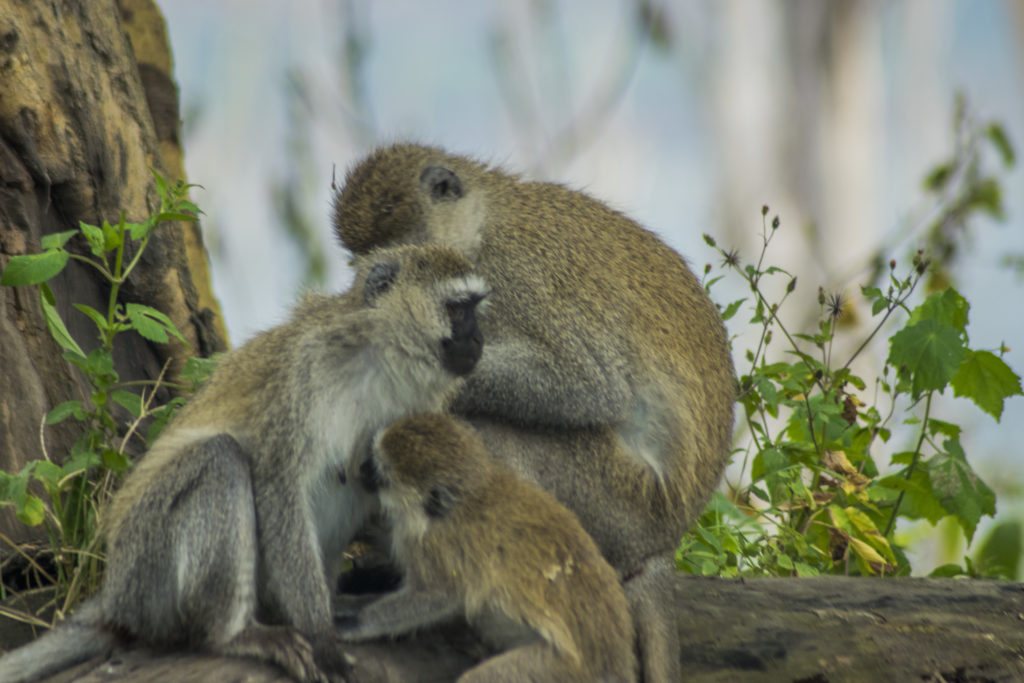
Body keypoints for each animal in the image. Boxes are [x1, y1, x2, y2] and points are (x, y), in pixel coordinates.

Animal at [0, 245, 485, 683]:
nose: (480, 340)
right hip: (145, 566)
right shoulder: (304, 373)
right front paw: (320, 635)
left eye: (477, 309)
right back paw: (235, 634)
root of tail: (115, 594)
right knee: (219, 460)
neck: (381, 357)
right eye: (459, 310)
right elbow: (280, 485)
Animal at [339, 411, 634, 683]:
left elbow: (438, 596)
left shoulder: (432, 544)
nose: (361, 469)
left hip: (557, 671)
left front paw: (355, 623)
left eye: (378, 473)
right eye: (371, 458)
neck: (469, 497)